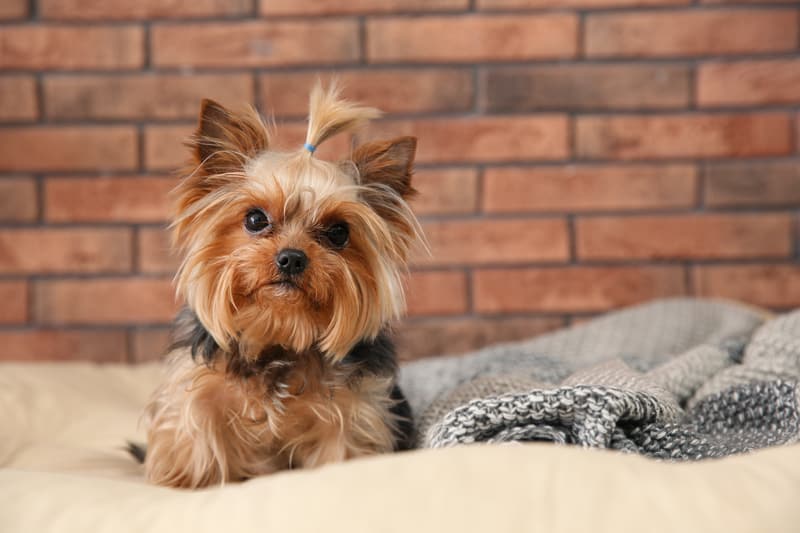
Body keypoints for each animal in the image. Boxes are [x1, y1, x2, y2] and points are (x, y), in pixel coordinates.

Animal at [139, 83, 424, 486]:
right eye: (256, 219)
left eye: (338, 232)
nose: (291, 258)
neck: (279, 333)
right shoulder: (199, 397)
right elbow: (201, 446)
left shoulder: (352, 413)